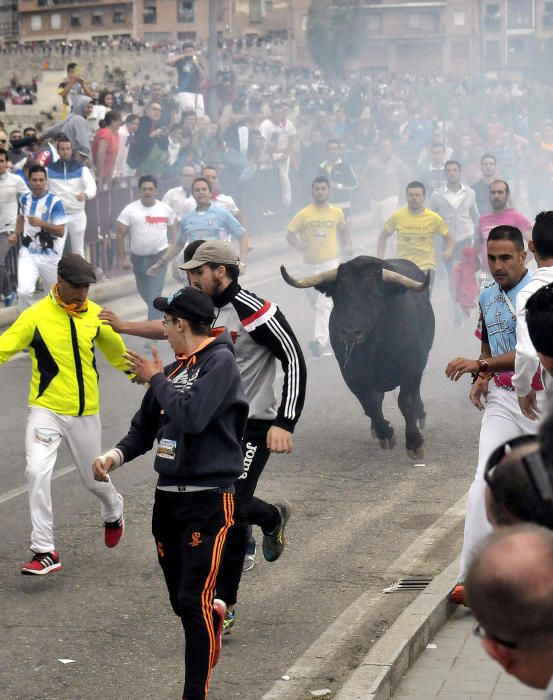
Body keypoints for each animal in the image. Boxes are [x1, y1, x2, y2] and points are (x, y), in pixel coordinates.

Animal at [282, 258, 434, 460]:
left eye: (376, 294)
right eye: (338, 294)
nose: (349, 332)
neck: (378, 347)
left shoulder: (413, 367)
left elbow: (406, 401)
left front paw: (414, 443)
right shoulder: (352, 376)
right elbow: (370, 404)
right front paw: (385, 433)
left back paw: (420, 413)